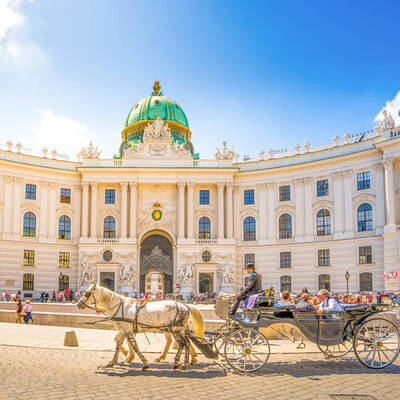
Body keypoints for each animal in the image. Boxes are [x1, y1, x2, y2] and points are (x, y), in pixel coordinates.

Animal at [76, 282, 205, 370]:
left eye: (87, 293)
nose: (77, 304)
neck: (119, 306)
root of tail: (185, 305)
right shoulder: (123, 331)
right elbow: (118, 346)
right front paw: (112, 362)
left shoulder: (128, 331)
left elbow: (135, 347)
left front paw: (145, 363)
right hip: (177, 330)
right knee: (186, 343)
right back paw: (184, 362)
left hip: (175, 330)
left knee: (183, 344)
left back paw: (180, 363)